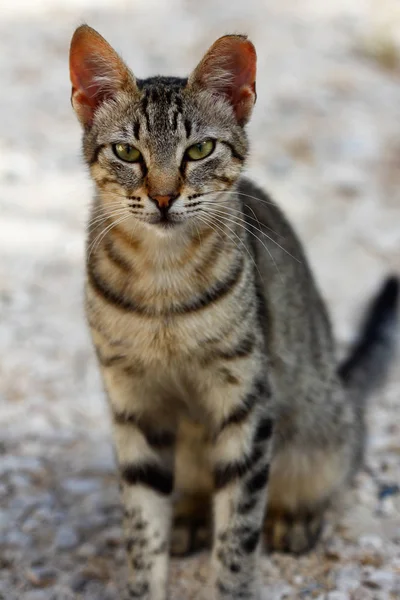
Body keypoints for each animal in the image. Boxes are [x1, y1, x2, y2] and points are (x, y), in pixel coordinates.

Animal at [69, 24, 396, 600]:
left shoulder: (246, 403)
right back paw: (188, 518)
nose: (162, 197)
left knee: (332, 470)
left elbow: (239, 536)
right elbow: (142, 531)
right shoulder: (134, 405)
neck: (162, 282)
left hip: (320, 430)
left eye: (199, 149)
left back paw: (296, 517)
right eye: (127, 152)